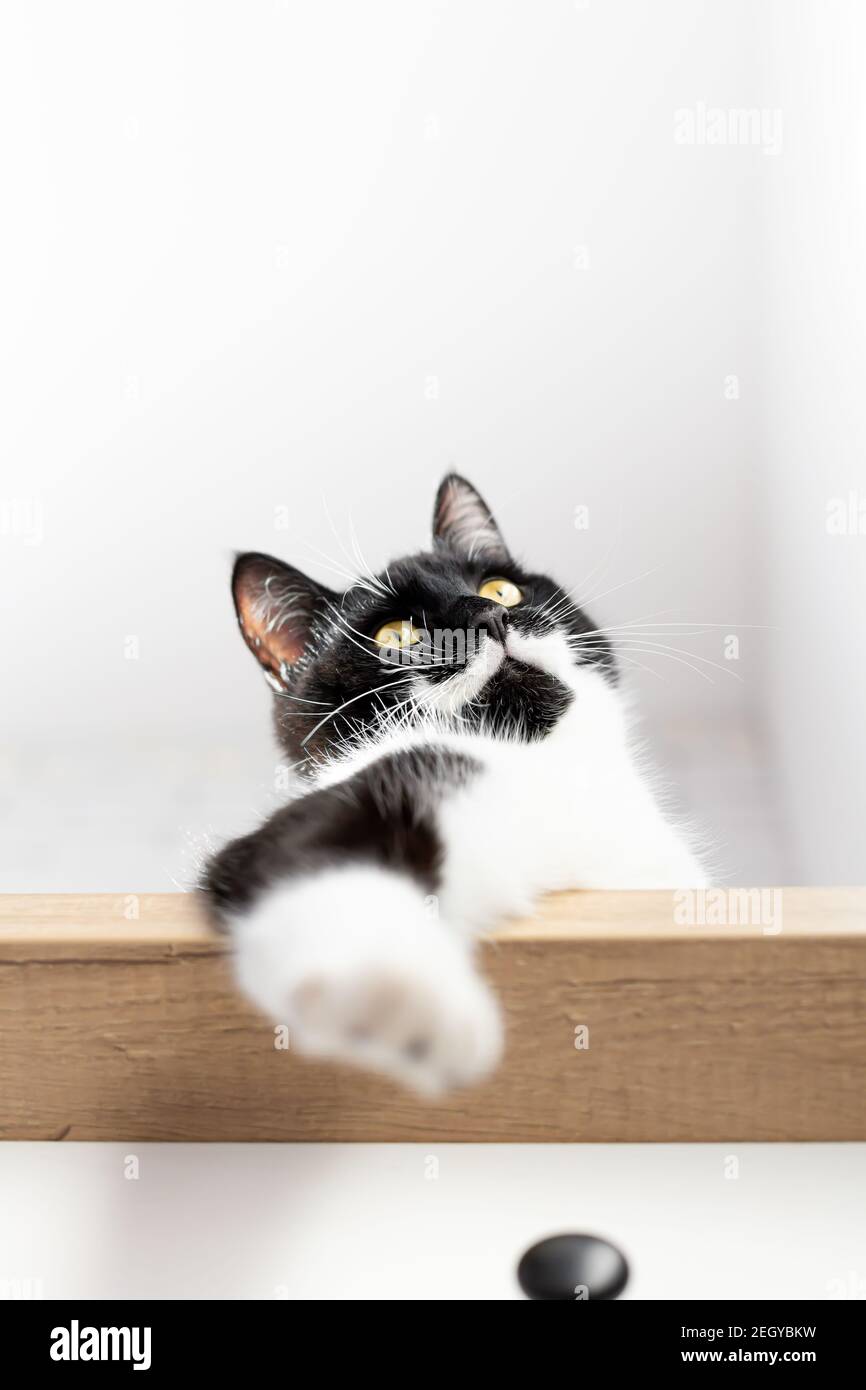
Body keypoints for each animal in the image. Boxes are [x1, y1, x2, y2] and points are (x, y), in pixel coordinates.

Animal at [202, 478, 711, 1095]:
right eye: (396, 634)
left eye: (500, 588)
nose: (488, 616)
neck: (543, 764)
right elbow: (314, 860)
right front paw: (402, 996)